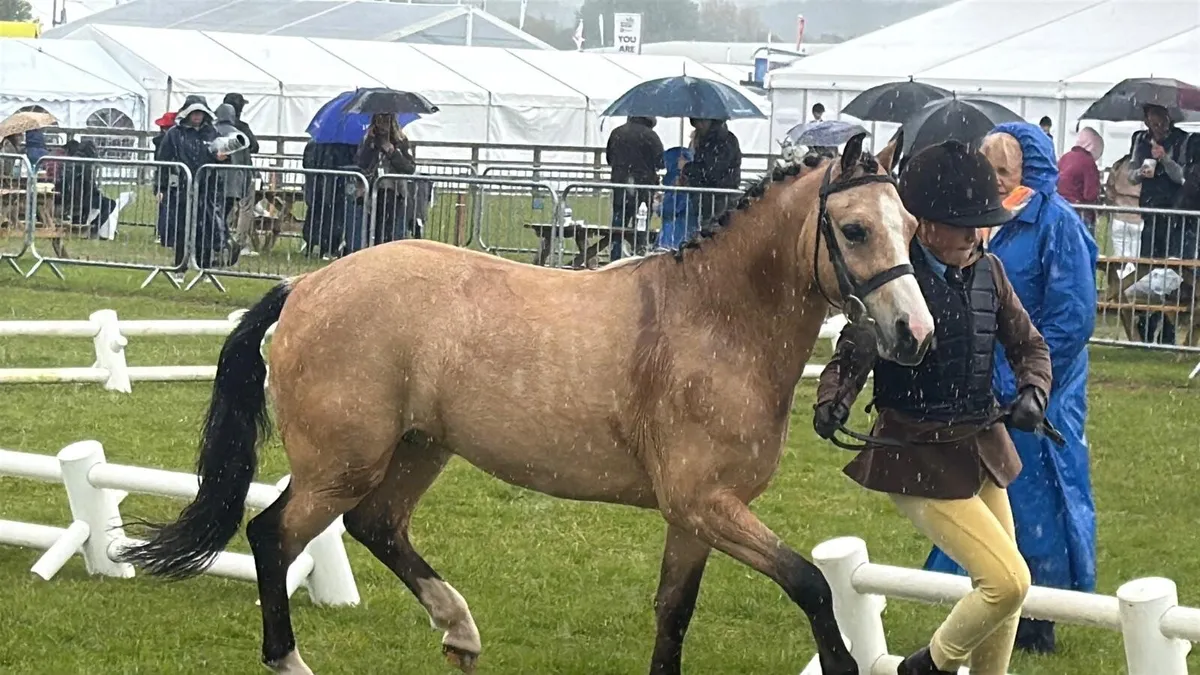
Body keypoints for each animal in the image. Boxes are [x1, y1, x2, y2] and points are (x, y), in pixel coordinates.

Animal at [115, 133, 934, 675]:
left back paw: (460, 630)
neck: (713, 320)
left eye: (913, 228)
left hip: (418, 448)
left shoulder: (696, 516)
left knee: (376, 526)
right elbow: (812, 584)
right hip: (341, 463)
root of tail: (306, 286)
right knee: (272, 535)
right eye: (854, 228)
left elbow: (674, 615)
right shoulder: (707, 503)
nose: (914, 334)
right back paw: (292, 659)